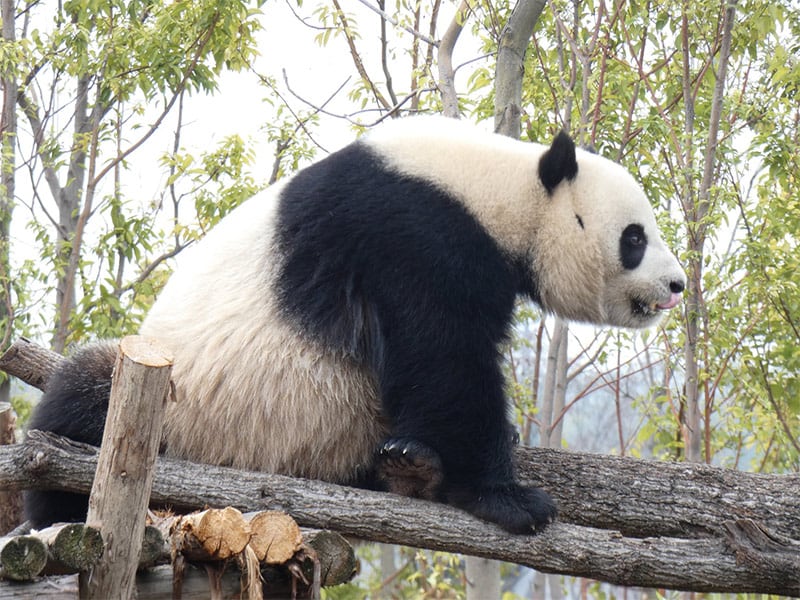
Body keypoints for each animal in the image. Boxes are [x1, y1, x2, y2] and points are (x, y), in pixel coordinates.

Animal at [25, 117, 688, 536]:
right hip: (177, 396)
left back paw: (409, 466)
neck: (502, 186)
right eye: (635, 238)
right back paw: (60, 508)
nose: (677, 284)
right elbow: (444, 360)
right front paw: (512, 500)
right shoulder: (415, 235)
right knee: (78, 404)